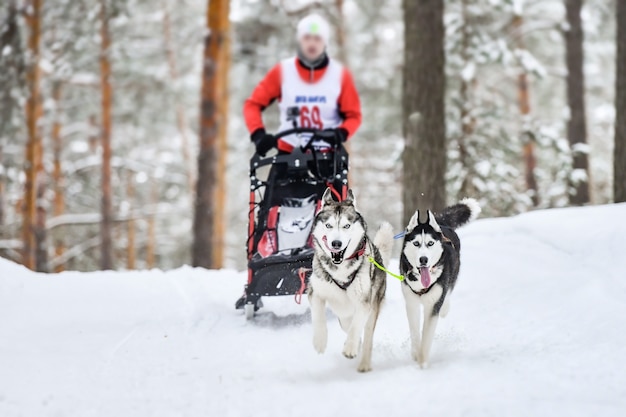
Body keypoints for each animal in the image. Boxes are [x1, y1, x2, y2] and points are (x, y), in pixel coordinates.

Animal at [306, 188, 390, 370]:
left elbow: (356, 325)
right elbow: (318, 316)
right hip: (343, 315)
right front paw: (320, 341)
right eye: (328, 225)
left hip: (372, 309)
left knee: (366, 336)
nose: (336, 243)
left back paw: (364, 363)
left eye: (346, 226)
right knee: (349, 326)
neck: (340, 271)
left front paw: (350, 348)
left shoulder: (364, 303)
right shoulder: (315, 292)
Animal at [400, 198, 478, 368]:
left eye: (430, 243)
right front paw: (415, 354)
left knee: (448, 293)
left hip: (452, 276)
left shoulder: (433, 305)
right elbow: (415, 332)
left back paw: (445, 309)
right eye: (416, 243)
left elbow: (427, 335)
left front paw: (423, 362)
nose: (423, 259)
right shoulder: (411, 303)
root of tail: (441, 224)